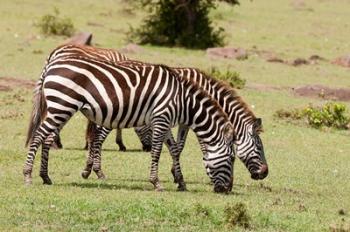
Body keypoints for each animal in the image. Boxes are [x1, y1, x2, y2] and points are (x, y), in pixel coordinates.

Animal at [24, 55, 235, 193]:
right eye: (231, 159)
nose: (228, 190)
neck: (183, 101)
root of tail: (52, 65)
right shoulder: (161, 118)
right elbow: (157, 151)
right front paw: (156, 182)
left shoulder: (165, 121)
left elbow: (174, 149)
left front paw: (181, 181)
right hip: (62, 105)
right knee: (38, 135)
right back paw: (28, 175)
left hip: (61, 108)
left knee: (47, 138)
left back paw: (45, 177)